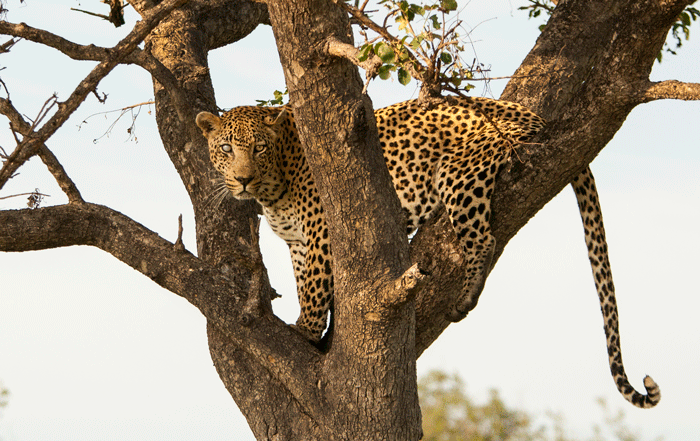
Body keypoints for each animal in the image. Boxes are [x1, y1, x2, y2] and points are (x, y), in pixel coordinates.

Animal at [196, 96, 660, 410]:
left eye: (259, 148)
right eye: (227, 149)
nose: (243, 179)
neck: (273, 185)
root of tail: (533, 114)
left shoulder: (321, 232)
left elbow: (314, 289)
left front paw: (306, 332)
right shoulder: (297, 243)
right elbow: (303, 283)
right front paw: (314, 331)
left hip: (459, 173)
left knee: (483, 239)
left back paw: (466, 296)